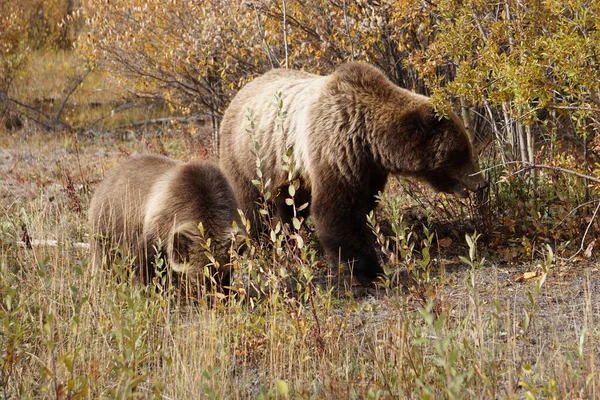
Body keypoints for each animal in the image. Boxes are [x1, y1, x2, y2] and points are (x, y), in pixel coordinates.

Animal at [87, 154, 241, 290]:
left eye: (225, 275)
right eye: (199, 277)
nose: (213, 295)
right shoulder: (160, 227)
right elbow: (146, 265)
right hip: (108, 225)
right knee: (106, 263)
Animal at [219, 61, 488, 284]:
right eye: (462, 151)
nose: (481, 182)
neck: (370, 141)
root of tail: (239, 94)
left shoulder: (369, 168)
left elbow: (365, 207)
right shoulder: (336, 148)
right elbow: (339, 211)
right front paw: (365, 270)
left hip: (290, 173)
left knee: (292, 207)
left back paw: (287, 241)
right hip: (249, 158)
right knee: (252, 208)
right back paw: (257, 243)